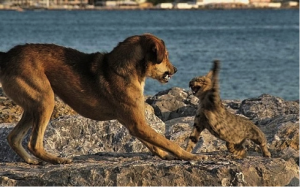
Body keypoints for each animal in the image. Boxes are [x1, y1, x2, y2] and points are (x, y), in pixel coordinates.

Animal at [0, 33, 206, 164]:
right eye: (166, 56)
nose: (175, 70)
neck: (125, 70)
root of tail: (7, 56)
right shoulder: (138, 124)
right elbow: (168, 142)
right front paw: (190, 156)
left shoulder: (134, 125)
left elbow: (154, 144)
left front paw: (165, 156)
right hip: (46, 100)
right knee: (33, 143)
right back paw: (56, 159)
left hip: (32, 106)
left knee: (13, 137)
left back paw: (31, 161)